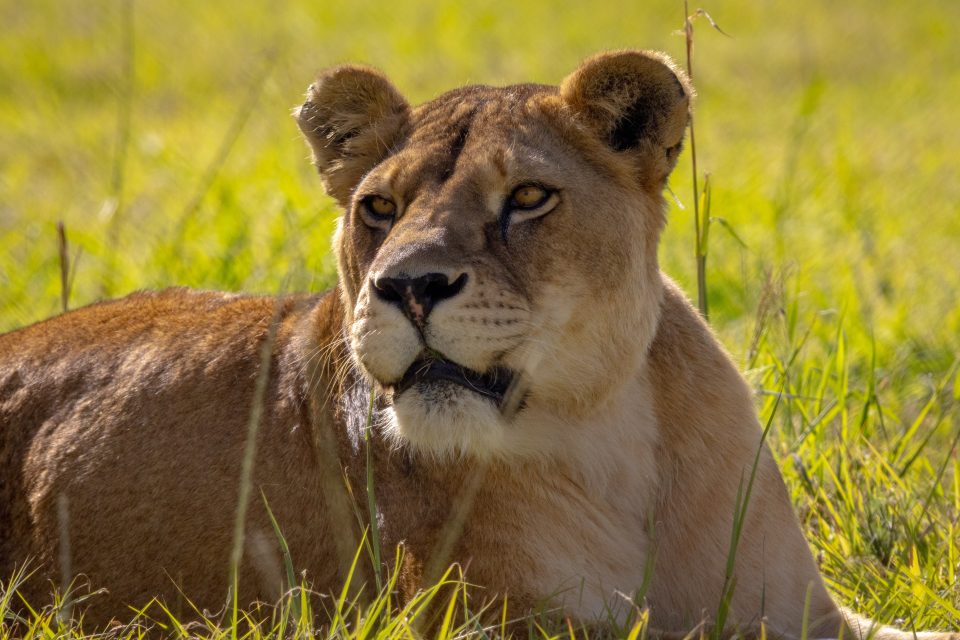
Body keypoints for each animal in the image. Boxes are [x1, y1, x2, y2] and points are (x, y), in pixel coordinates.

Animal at [0, 50, 955, 638]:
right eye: (379, 208)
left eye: (528, 197)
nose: (409, 287)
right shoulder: (489, 618)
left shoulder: (804, 610)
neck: (613, 445)